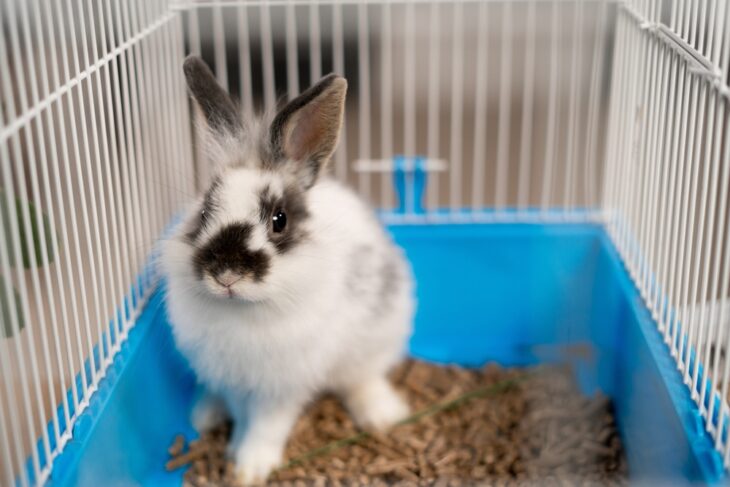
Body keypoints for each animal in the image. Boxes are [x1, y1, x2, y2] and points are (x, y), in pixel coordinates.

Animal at [160, 56, 415, 484]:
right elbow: (241, 413)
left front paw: (249, 467)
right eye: (205, 212)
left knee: (362, 378)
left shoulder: (280, 386)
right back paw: (205, 412)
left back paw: (382, 415)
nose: (226, 275)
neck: (243, 312)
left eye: (279, 220)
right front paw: (235, 454)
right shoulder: (232, 377)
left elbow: (266, 426)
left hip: (375, 339)